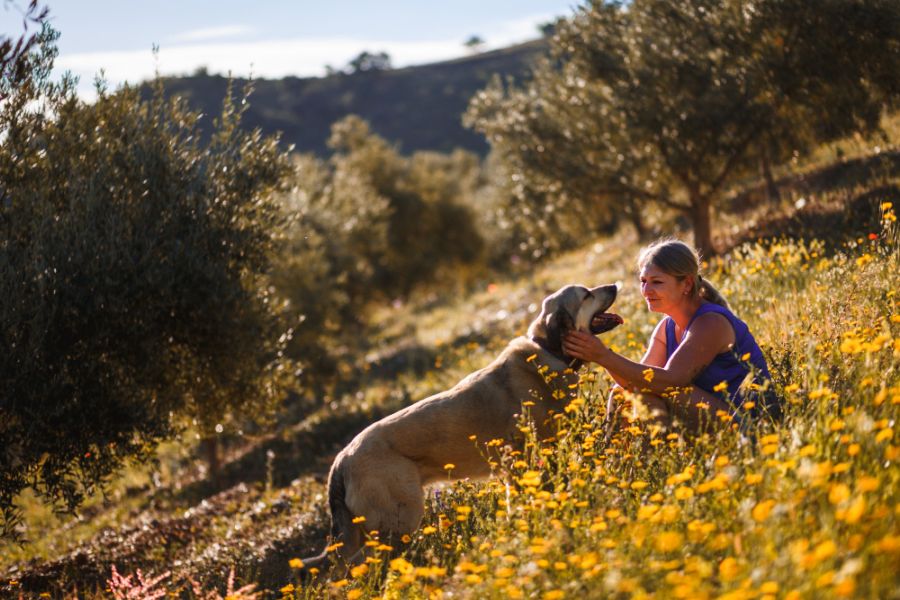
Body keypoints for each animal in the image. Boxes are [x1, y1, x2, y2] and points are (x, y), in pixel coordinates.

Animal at [298, 284, 624, 576]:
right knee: (360, 567)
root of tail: (341, 460)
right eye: (587, 295)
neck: (546, 352)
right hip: (398, 520)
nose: (614, 285)